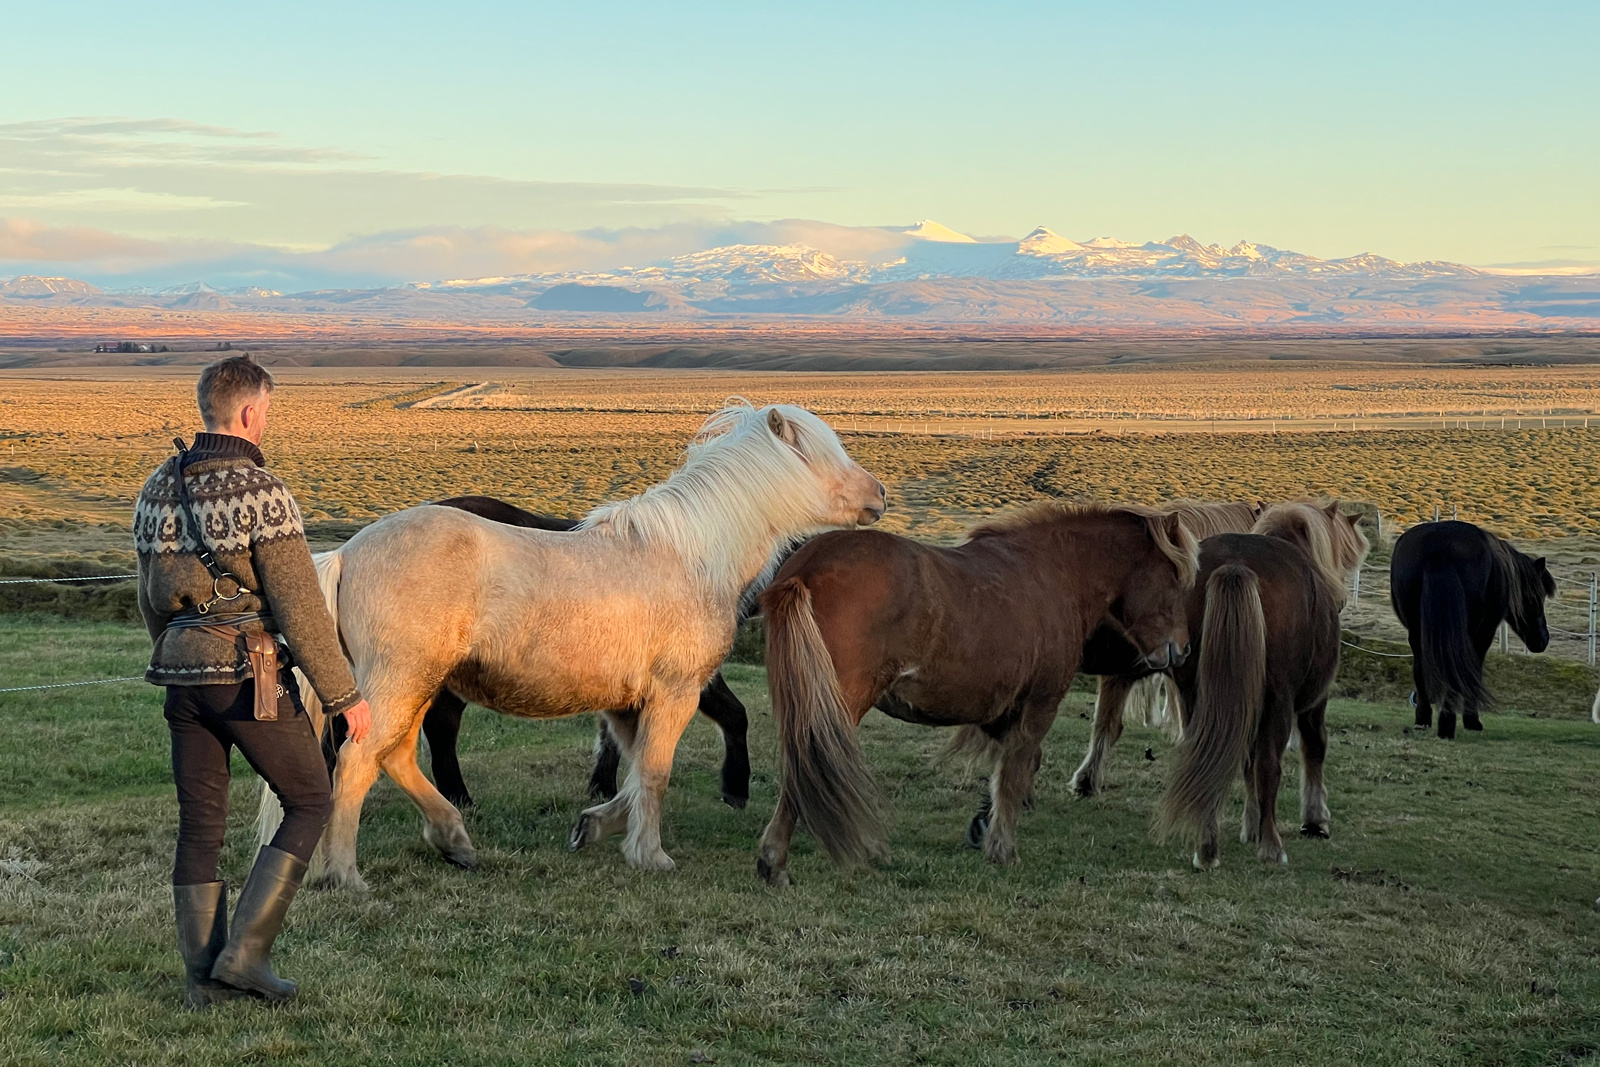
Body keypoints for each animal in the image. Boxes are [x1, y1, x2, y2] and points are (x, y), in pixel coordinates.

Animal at [755, 505, 1196, 889]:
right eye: (1175, 580)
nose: (1182, 650)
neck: (1053, 573)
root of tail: (808, 567)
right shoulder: (1040, 704)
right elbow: (1016, 770)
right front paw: (1002, 848)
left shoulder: (1003, 711)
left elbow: (1011, 769)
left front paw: (985, 825)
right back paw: (775, 863)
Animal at [1158, 502, 1369, 870]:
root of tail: (1235, 564)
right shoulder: (1313, 703)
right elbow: (1313, 747)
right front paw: (1315, 820)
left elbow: (1244, 762)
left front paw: (1250, 824)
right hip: (1278, 701)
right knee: (1270, 765)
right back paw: (1271, 846)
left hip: (1197, 696)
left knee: (1208, 757)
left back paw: (1206, 846)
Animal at [1388, 518, 1548, 739]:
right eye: (1538, 596)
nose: (1543, 639)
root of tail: (1439, 548)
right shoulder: (1483, 635)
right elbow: (1474, 671)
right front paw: (1472, 720)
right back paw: (1447, 726)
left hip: (1417, 632)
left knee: (1420, 670)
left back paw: (1423, 720)